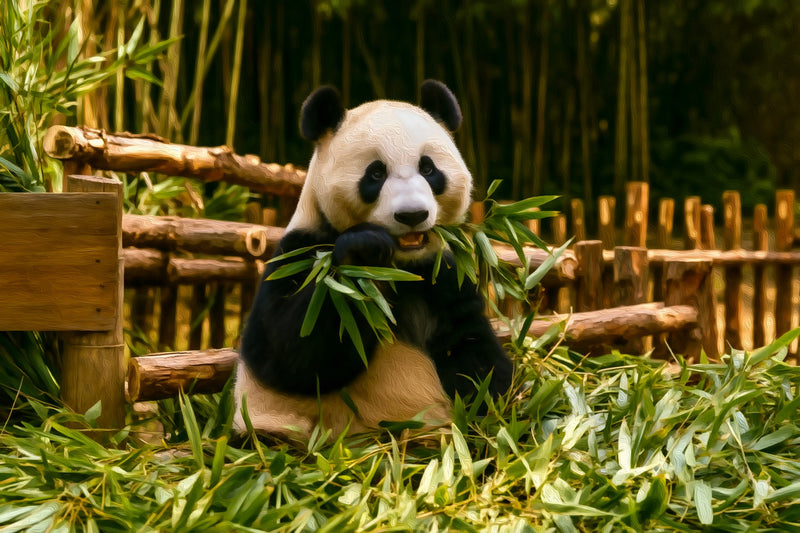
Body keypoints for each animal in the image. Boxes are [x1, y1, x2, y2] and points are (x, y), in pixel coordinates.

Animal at [234, 80, 512, 440]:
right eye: (376, 173)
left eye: (428, 168)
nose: (412, 215)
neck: (401, 267)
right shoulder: (301, 250)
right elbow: (288, 353)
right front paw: (363, 251)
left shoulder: (441, 273)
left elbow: (468, 343)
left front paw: (491, 411)